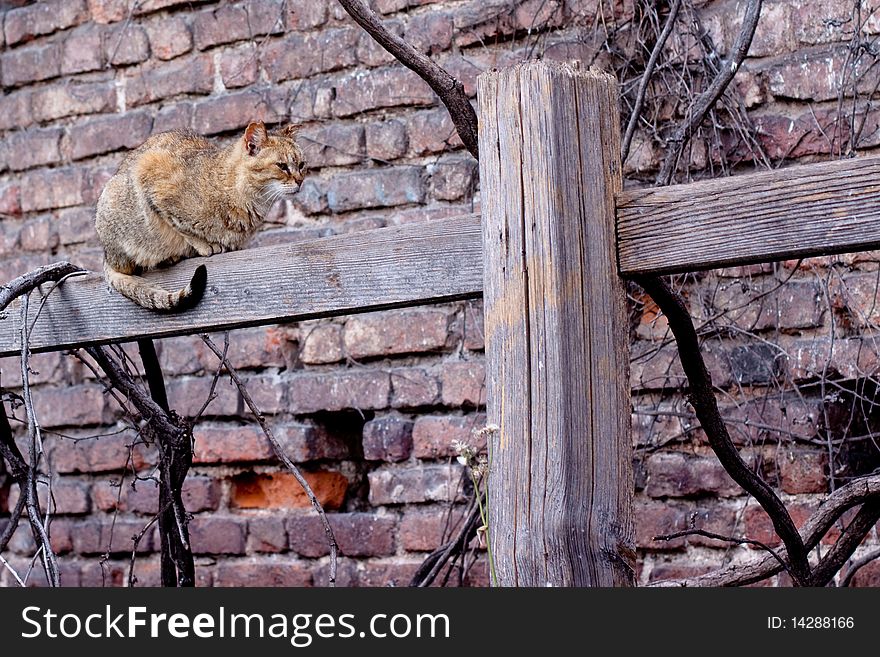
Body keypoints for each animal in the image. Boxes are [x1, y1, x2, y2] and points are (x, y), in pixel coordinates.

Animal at [96, 121, 306, 310]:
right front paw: (206, 245)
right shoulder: (152, 175)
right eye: (282, 166)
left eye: (302, 165)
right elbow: (181, 226)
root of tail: (106, 255)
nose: (300, 181)